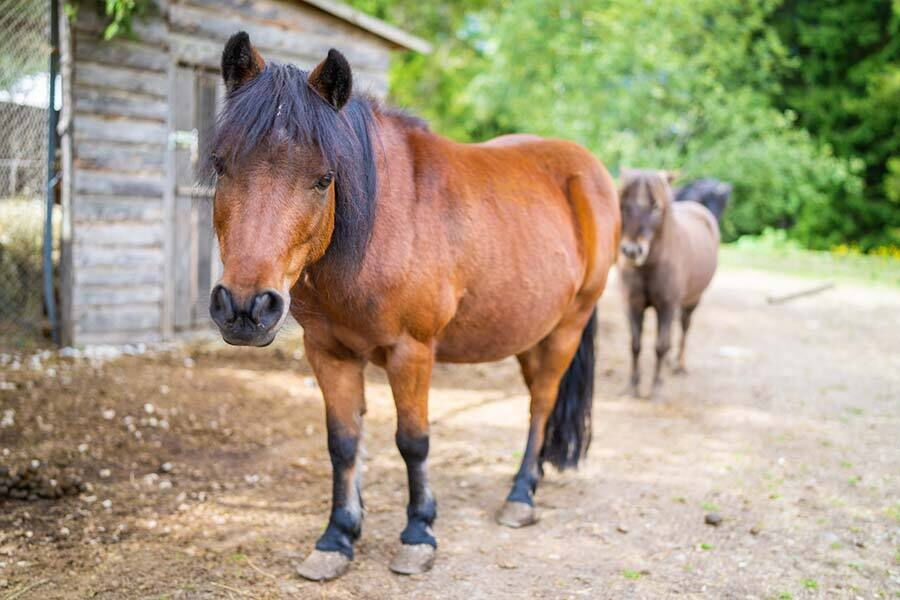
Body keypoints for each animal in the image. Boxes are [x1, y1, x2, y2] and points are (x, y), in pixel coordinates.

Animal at [207, 32, 620, 581]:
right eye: (221, 166)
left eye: (324, 178)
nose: (245, 308)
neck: (379, 226)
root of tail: (587, 169)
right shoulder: (328, 352)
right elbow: (343, 442)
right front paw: (337, 537)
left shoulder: (413, 352)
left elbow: (413, 441)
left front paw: (418, 532)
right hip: (531, 331)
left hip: (567, 327)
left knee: (542, 403)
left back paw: (520, 496)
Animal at [617, 169, 720, 399]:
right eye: (624, 203)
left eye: (656, 207)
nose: (632, 251)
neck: (649, 267)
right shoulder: (633, 304)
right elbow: (635, 345)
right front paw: (633, 386)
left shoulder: (666, 305)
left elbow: (660, 346)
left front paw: (656, 387)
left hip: (691, 301)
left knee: (684, 327)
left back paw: (679, 365)